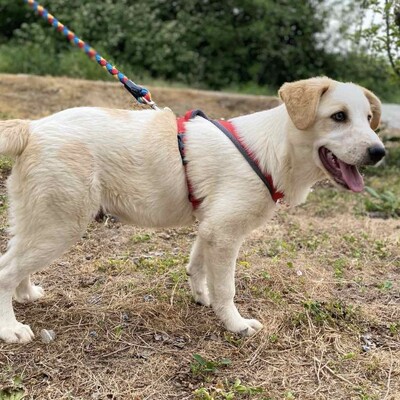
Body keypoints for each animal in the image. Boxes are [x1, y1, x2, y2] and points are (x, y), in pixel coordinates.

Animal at [0, 76, 384, 342]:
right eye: (338, 116)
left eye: (368, 119)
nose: (379, 152)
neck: (271, 150)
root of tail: (32, 126)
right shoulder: (225, 234)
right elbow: (227, 288)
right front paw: (236, 324)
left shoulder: (210, 229)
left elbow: (197, 268)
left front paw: (203, 298)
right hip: (60, 225)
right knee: (5, 270)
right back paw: (11, 329)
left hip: (39, 222)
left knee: (15, 261)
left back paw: (27, 293)